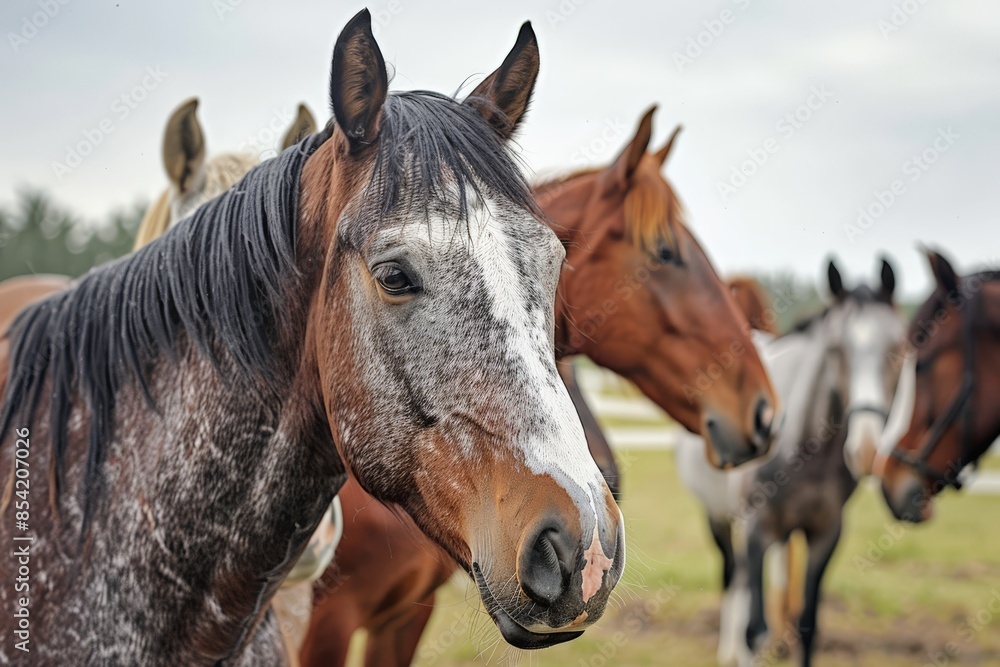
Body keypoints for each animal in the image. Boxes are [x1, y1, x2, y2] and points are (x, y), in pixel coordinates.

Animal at [677, 260, 906, 667]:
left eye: (896, 349)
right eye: (836, 350)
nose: (865, 449)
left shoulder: (825, 535)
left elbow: (808, 626)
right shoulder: (755, 530)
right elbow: (754, 630)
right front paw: (745, 646)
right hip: (719, 517)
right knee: (732, 574)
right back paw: (728, 650)